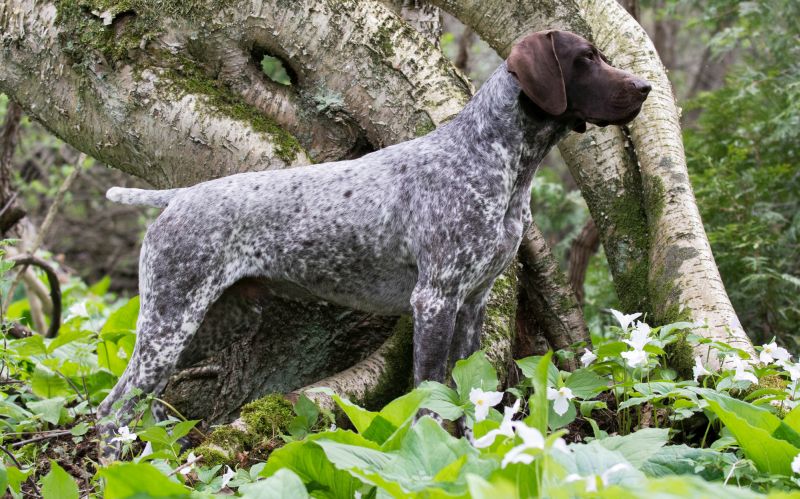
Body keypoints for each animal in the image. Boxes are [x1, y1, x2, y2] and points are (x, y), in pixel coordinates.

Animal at [100, 29, 648, 456]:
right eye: (586, 58)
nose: (644, 87)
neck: (497, 159)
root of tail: (180, 195)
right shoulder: (435, 300)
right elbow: (428, 393)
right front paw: (427, 452)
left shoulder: (472, 303)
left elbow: (470, 391)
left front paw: (472, 457)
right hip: (171, 322)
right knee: (114, 408)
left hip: (209, 324)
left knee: (128, 400)